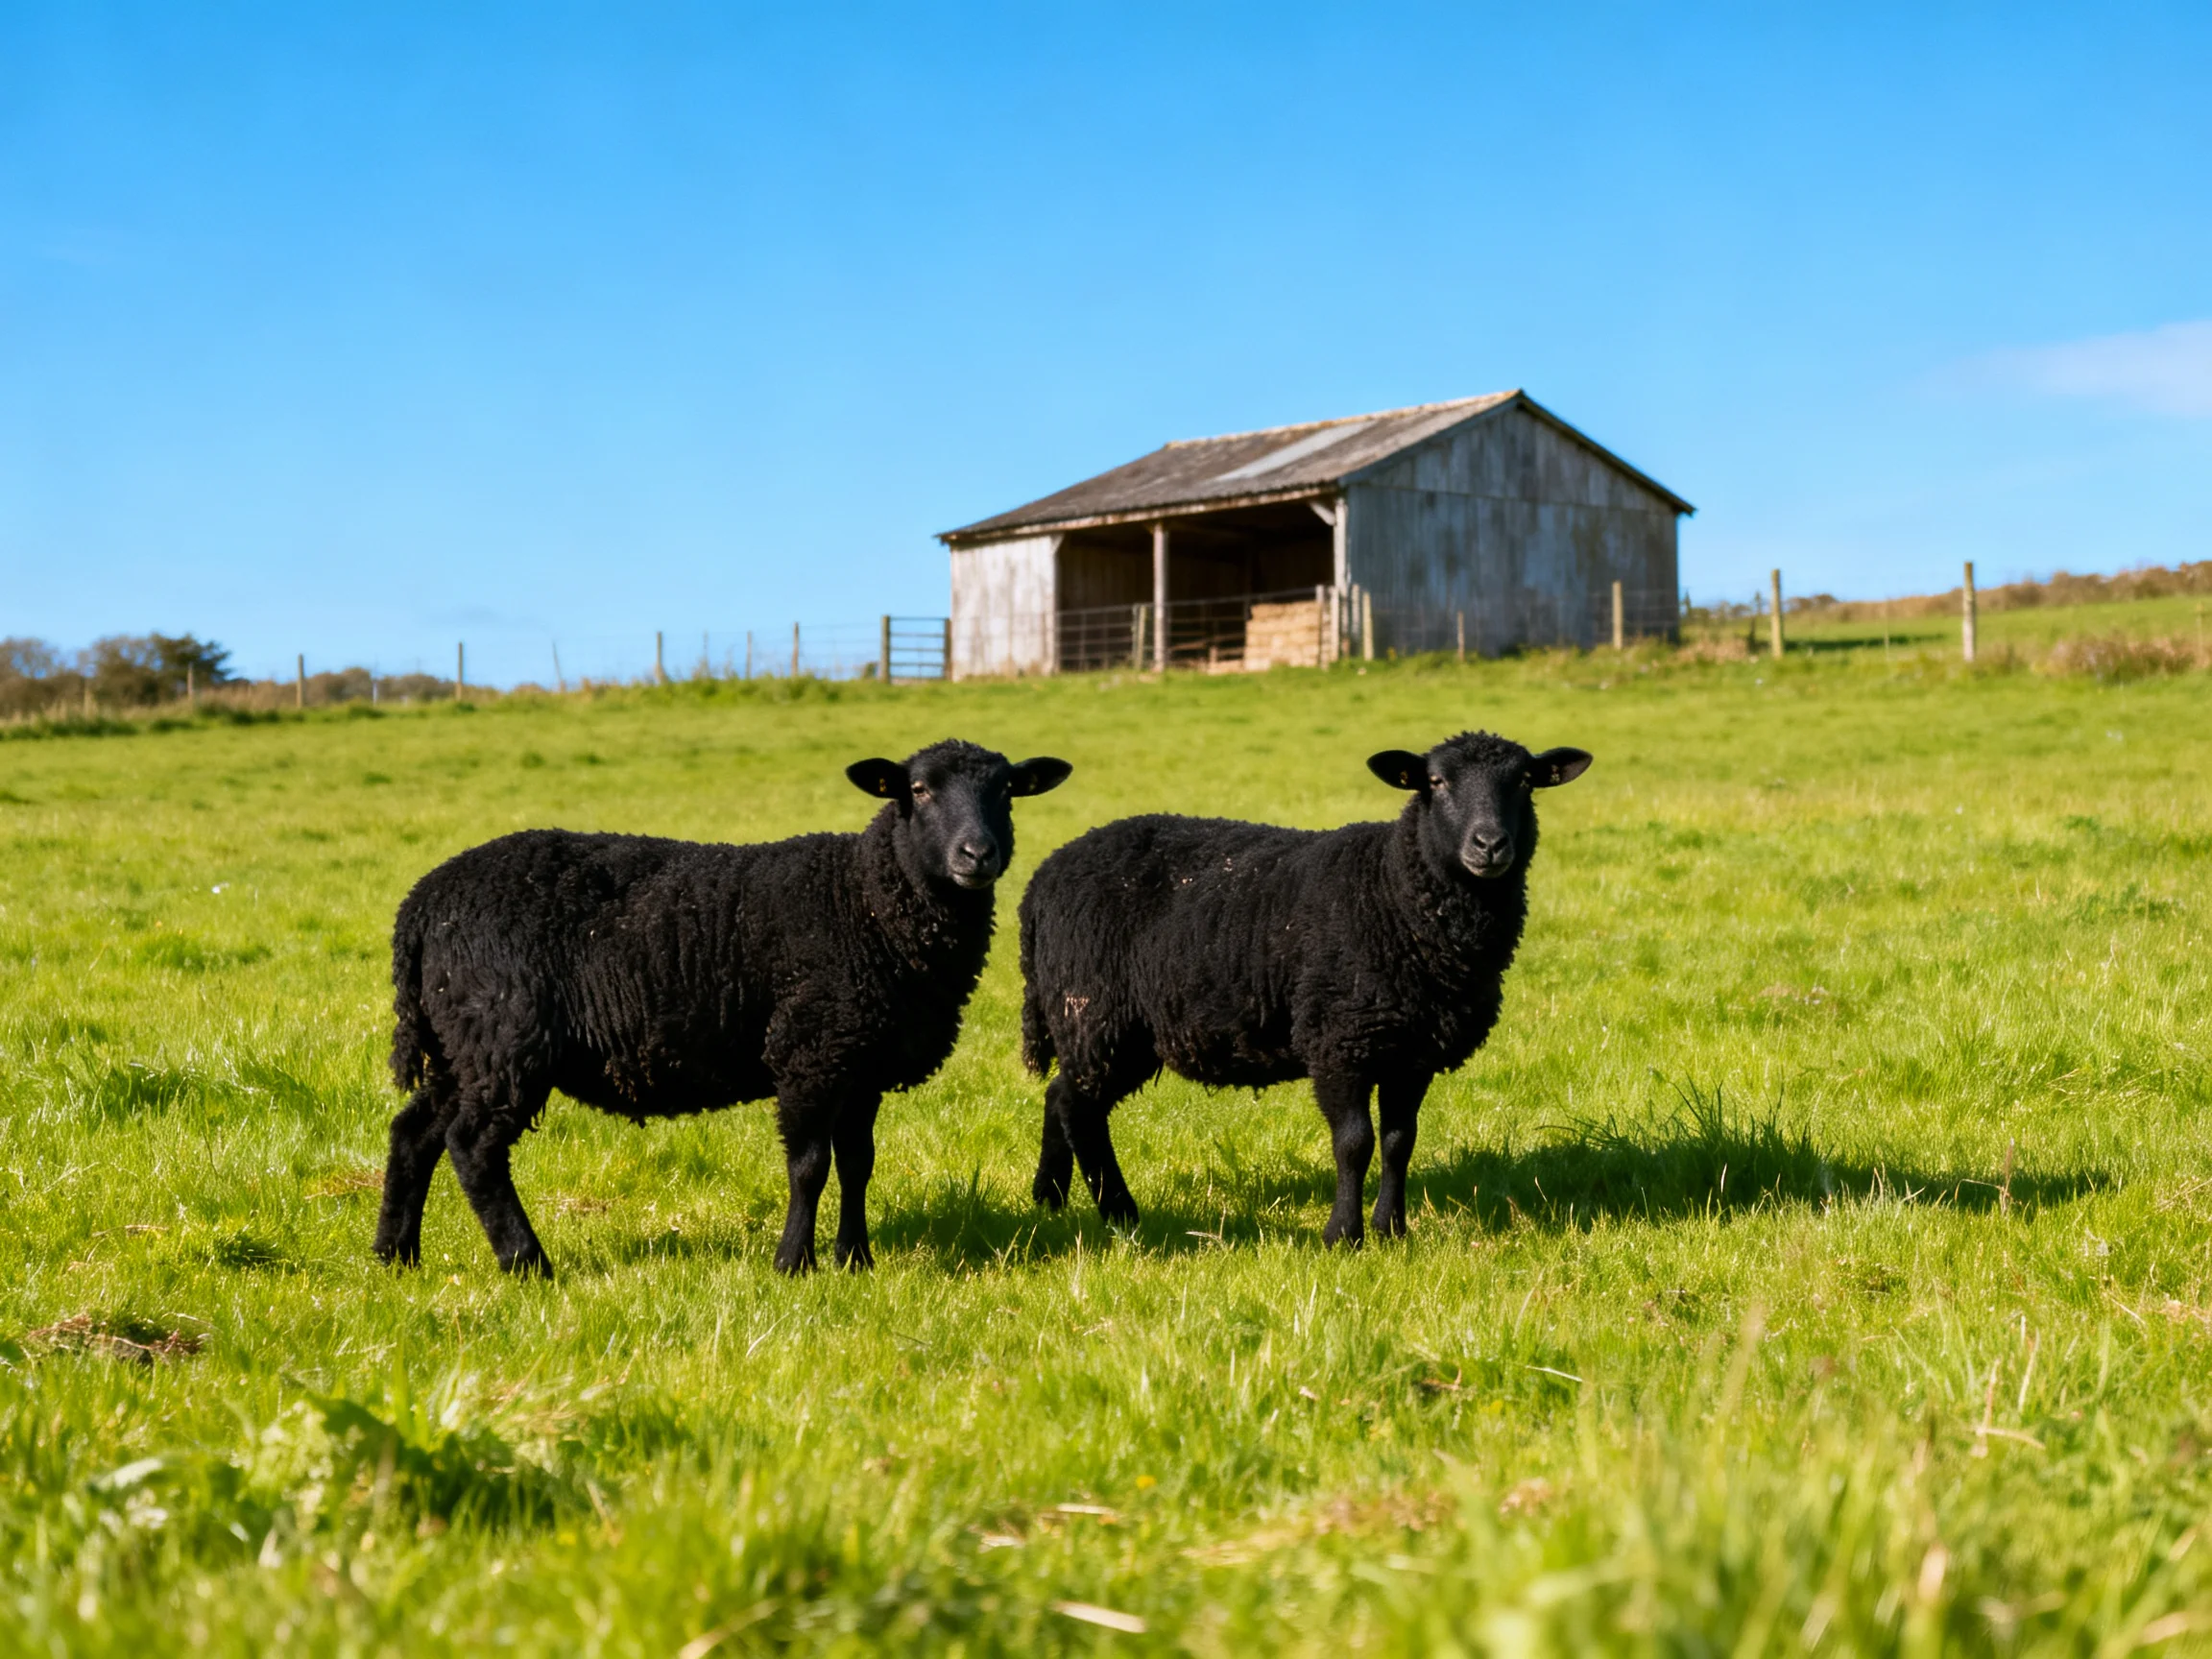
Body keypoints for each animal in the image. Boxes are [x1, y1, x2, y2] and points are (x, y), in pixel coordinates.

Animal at [373, 739, 1071, 1277]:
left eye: (1007, 792)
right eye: (920, 790)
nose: (977, 855)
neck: (865, 899)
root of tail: (423, 903)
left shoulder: (861, 1059)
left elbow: (858, 1164)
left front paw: (855, 1260)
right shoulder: (810, 1050)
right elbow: (810, 1166)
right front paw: (794, 1263)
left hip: (463, 1043)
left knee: (415, 1132)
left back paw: (394, 1255)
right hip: (505, 1038)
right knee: (473, 1147)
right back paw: (527, 1263)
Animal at [1018, 730, 1589, 1247]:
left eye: (1525, 782)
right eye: (1436, 781)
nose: (1489, 845)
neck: (1393, 891)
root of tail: (1043, 877)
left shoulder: (1411, 1052)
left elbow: (1400, 1141)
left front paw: (1392, 1231)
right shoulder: (1338, 1041)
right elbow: (1354, 1143)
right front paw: (1343, 1235)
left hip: (1109, 1028)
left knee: (1060, 1095)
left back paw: (1050, 1197)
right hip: (1098, 1014)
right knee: (1080, 1109)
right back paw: (1120, 1213)